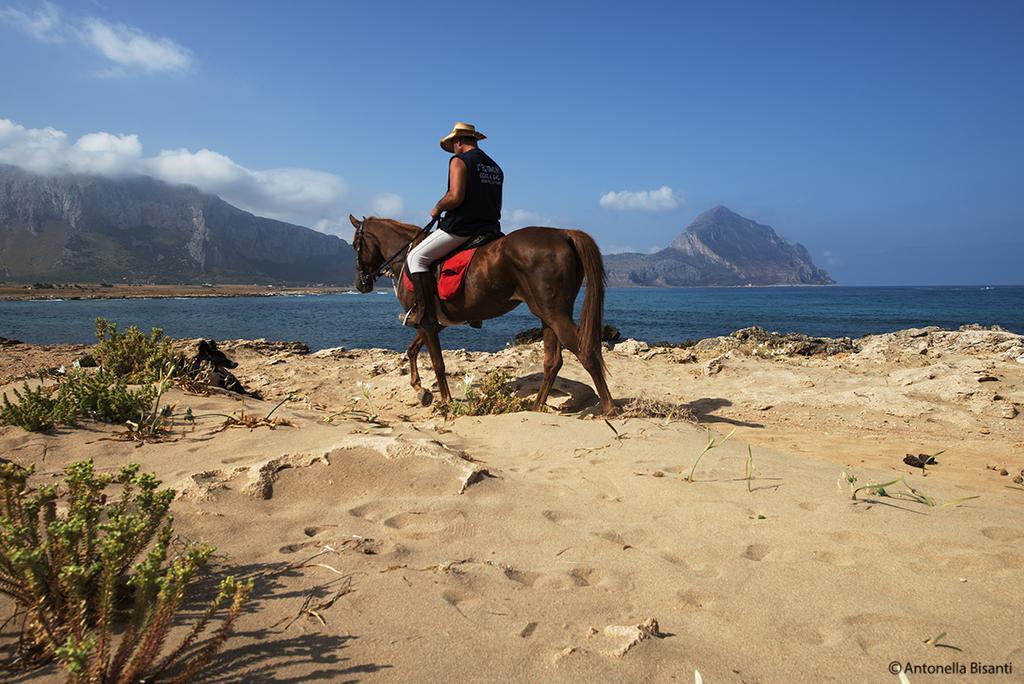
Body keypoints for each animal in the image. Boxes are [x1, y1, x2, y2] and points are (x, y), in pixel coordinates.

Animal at [350, 214, 614, 413]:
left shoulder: (426, 323)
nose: (360, 284)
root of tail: (563, 234)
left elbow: (437, 363)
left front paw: (445, 401)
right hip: (548, 316)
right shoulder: (432, 323)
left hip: (555, 314)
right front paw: (420, 389)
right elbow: (412, 350)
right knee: (553, 361)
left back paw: (609, 408)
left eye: (355, 245)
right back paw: (537, 407)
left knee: (585, 351)